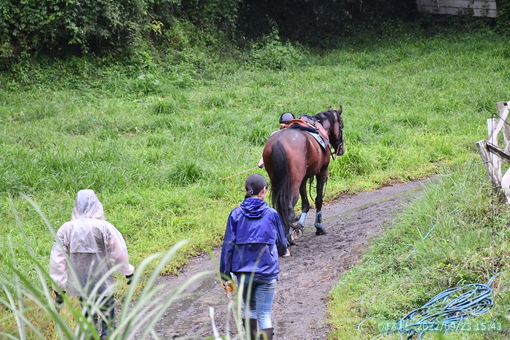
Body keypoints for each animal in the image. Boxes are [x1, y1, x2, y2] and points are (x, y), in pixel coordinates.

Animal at [262, 107, 342, 244]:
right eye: (341, 126)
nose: (341, 149)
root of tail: (278, 142)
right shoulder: (322, 172)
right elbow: (318, 200)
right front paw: (319, 228)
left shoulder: (304, 179)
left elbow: (305, 204)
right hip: (293, 183)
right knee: (288, 208)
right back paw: (290, 235)